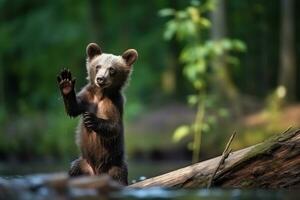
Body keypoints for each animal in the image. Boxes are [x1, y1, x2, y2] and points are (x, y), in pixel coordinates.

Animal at [56, 43, 138, 185]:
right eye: (98, 66)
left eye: (112, 69)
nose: (100, 79)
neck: (101, 95)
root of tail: (97, 174)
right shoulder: (87, 98)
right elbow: (73, 108)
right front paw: (66, 83)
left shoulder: (114, 103)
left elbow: (114, 127)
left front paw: (91, 119)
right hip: (84, 163)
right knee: (74, 169)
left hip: (115, 164)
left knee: (119, 174)